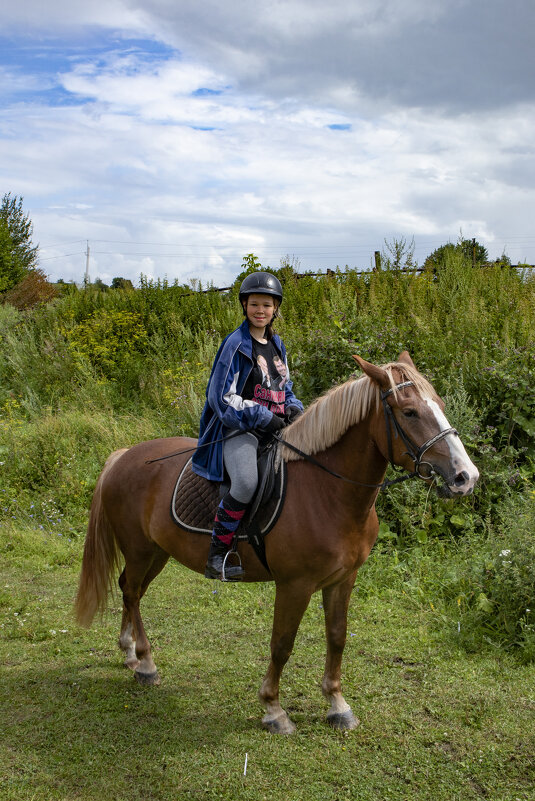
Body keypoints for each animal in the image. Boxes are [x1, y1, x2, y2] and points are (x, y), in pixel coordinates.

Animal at [74, 354, 478, 736]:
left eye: (440, 404)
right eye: (409, 412)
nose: (466, 477)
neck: (326, 491)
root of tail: (123, 455)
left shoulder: (343, 579)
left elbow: (337, 637)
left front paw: (337, 704)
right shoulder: (294, 584)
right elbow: (282, 644)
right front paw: (273, 709)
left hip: (157, 552)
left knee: (131, 591)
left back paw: (129, 652)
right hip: (141, 550)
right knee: (132, 593)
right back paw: (145, 662)